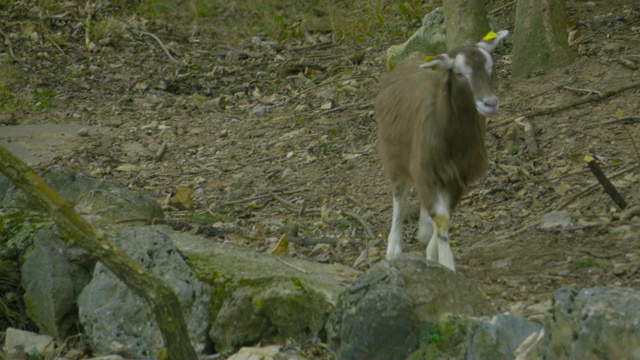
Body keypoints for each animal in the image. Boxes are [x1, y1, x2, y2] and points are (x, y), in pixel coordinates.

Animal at [372, 31, 508, 272]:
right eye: (459, 74)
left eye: (490, 68)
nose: (490, 103)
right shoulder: (426, 169)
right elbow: (441, 219)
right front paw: (447, 265)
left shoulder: (457, 176)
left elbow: (444, 217)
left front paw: (431, 253)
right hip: (394, 154)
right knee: (399, 196)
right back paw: (394, 249)